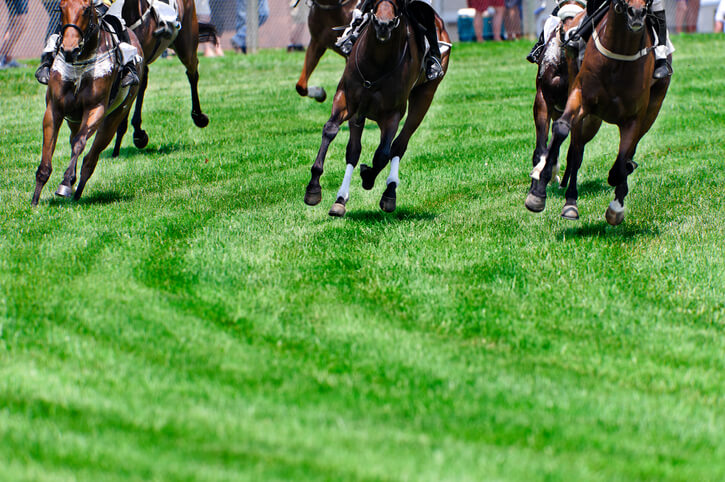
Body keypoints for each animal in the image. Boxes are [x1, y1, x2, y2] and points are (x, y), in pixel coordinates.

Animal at [32, 0, 143, 205]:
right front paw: (35, 200)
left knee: (90, 159)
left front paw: (65, 183)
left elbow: (79, 143)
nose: (69, 49)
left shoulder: (95, 109)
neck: (81, 63)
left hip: (113, 119)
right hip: (73, 120)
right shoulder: (54, 109)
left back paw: (77, 191)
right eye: (61, 8)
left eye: (85, 10)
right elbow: (48, 152)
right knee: (74, 140)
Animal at [303, 0, 450, 217]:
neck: (378, 62)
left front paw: (368, 176)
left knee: (398, 145)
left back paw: (390, 191)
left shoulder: (393, 113)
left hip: (424, 97)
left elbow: (382, 154)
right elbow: (331, 131)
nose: (383, 24)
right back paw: (341, 199)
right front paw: (314, 187)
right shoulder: (346, 99)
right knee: (354, 150)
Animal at [525, 0, 671, 225]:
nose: (636, 14)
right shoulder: (559, 99)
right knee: (572, 151)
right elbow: (554, 139)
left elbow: (622, 157)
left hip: (644, 111)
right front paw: (538, 190)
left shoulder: (635, 116)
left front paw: (616, 205)